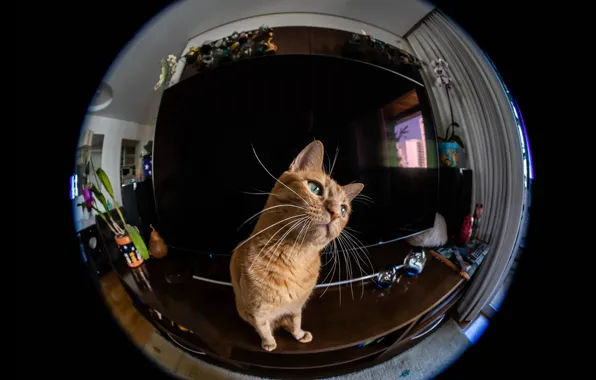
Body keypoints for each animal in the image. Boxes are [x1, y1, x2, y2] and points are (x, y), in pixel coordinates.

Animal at [232, 141, 364, 352]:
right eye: (315, 188)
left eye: (344, 209)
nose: (336, 212)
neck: (293, 258)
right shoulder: (258, 312)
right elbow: (263, 328)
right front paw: (269, 343)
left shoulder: (296, 307)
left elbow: (295, 322)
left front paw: (299, 334)